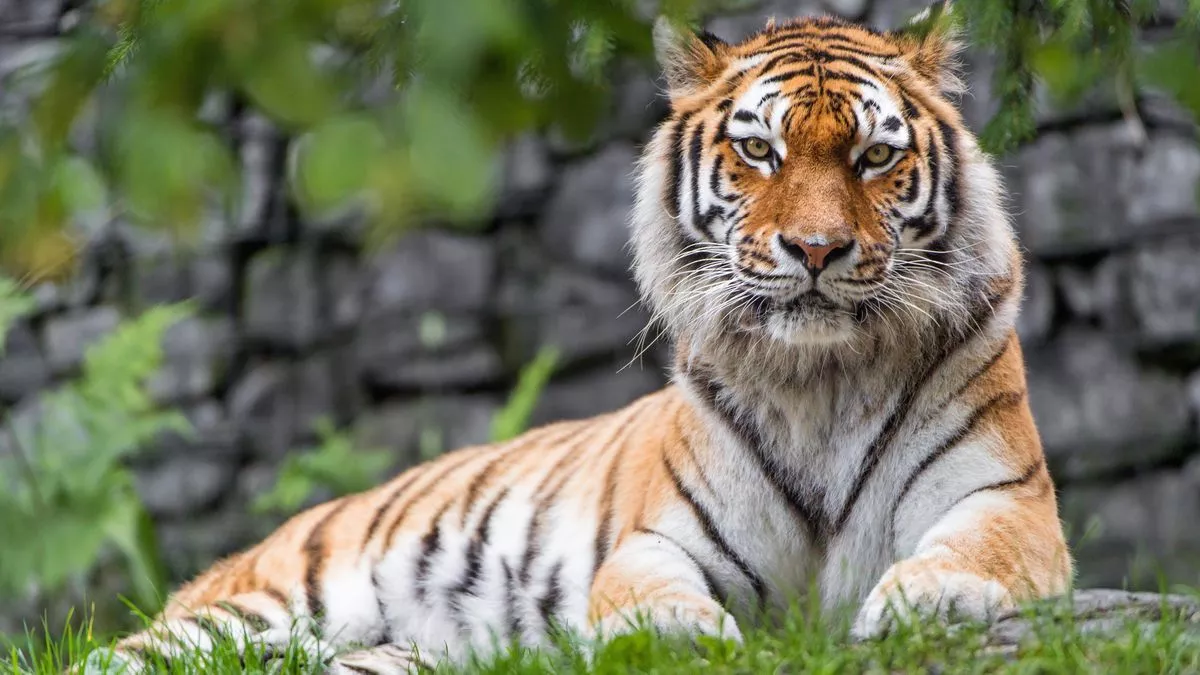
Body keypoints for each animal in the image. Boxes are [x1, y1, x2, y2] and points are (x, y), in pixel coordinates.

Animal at [81, 4, 1072, 674]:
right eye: (760, 152)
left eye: (874, 156)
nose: (818, 249)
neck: (818, 379)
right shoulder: (660, 535)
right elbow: (643, 590)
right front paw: (671, 635)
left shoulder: (1007, 499)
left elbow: (974, 550)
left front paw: (926, 598)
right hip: (258, 604)